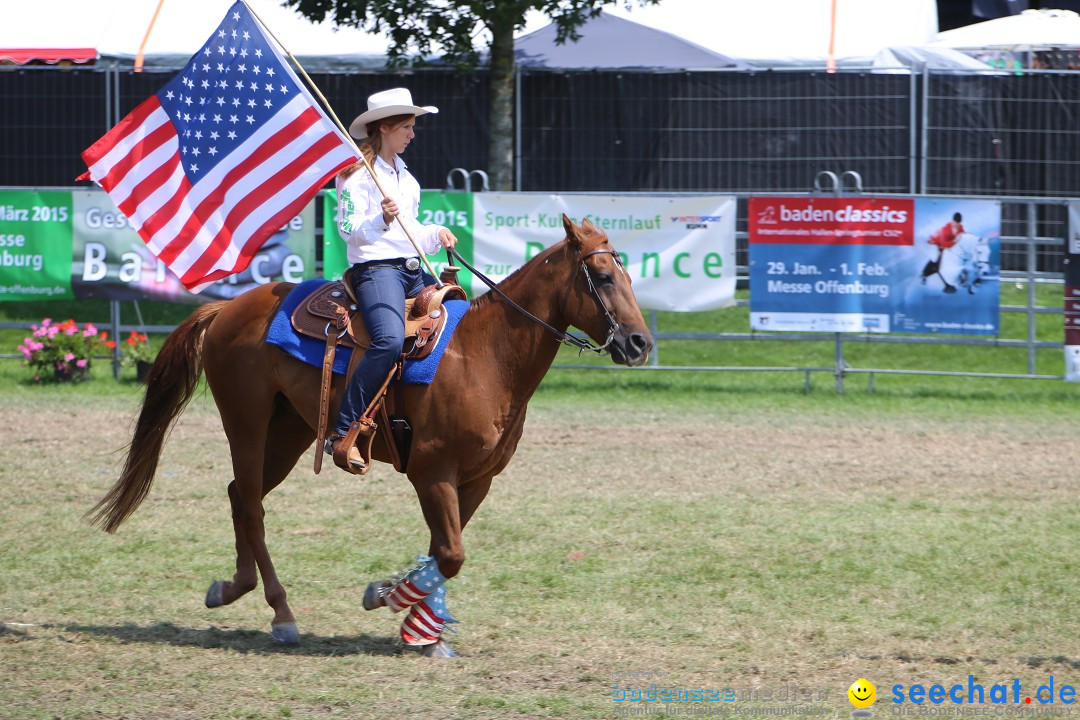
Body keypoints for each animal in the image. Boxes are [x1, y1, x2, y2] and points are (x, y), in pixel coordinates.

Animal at [86, 213, 648, 651]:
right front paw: (388, 598)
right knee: (249, 504)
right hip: (244, 423)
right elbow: (450, 553)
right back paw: (281, 614)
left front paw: (422, 628)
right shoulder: (431, 472)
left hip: (289, 433)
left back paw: (232, 588)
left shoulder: (476, 480)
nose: (640, 343)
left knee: (239, 497)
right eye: (602, 275)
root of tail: (227, 308)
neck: (485, 355)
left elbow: (442, 551)